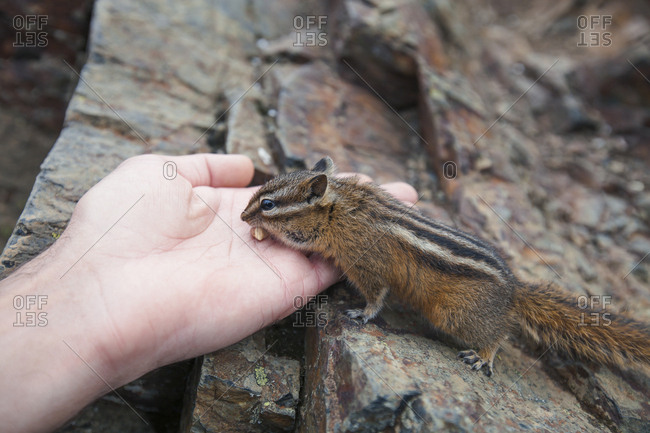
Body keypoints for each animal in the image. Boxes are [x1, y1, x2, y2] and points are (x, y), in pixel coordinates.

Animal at [241, 156, 650, 376]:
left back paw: (482, 356)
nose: (244, 217)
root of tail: (513, 291)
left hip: (454, 314)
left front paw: (362, 313)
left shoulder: (368, 264)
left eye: (269, 205)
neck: (339, 209)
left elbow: (376, 295)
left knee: (500, 335)